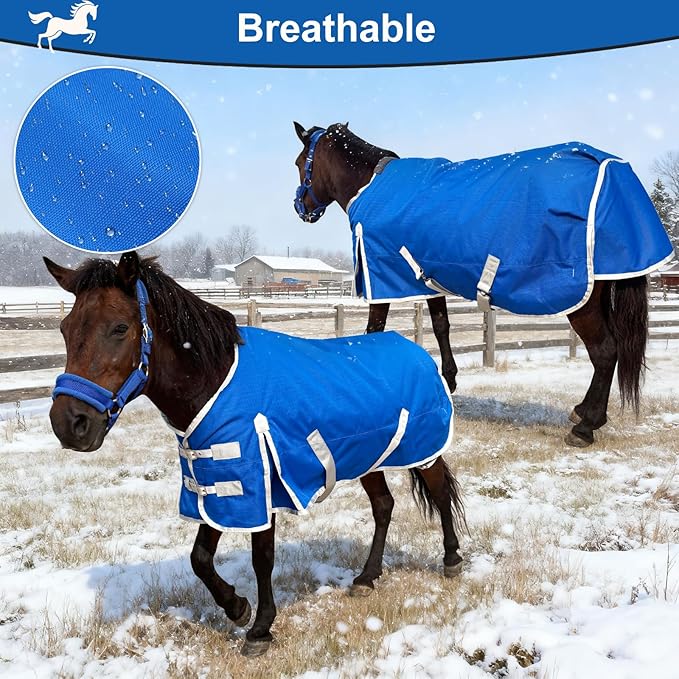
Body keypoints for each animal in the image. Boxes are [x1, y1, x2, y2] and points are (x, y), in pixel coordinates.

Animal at [44, 251, 465, 657]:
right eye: (65, 329)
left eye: (120, 328)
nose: (70, 423)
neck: (215, 379)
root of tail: (419, 352)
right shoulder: (218, 480)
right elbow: (199, 557)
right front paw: (236, 607)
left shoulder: (259, 483)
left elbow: (262, 558)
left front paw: (260, 628)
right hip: (366, 458)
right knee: (383, 506)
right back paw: (367, 577)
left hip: (423, 452)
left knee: (440, 493)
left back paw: (451, 560)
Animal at [292, 122, 662, 448]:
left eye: (299, 163)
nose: (301, 207)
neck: (370, 184)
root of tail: (609, 168)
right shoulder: (427, 276)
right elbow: (441, 325)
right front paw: (449, 380)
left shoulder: (382, 273)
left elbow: (375, 331)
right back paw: (583, 412)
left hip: (583, 304)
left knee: (604, 351)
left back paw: (585, 427)